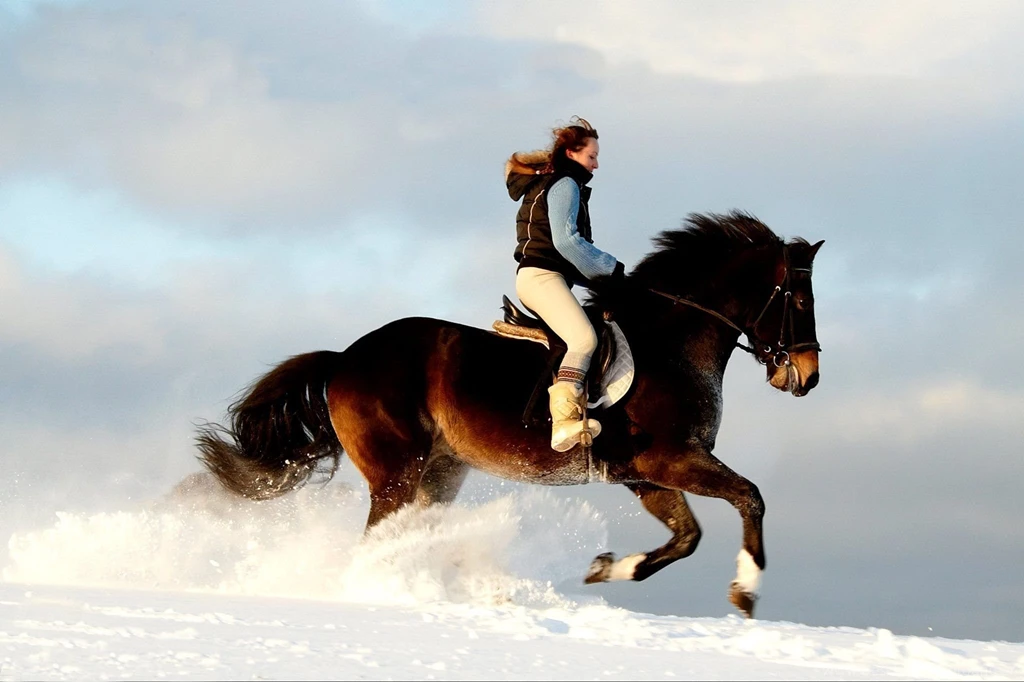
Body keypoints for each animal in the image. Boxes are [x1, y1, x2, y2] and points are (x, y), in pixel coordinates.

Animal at [195, 211, 824, 618]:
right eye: (799, 299)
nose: (808, 375)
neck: (672, 343)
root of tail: (345, 358)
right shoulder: (672, 459)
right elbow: (749, 498)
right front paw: (746, 591)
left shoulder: (643, 476)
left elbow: (686, 537)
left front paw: (603, 569)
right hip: (395, 472)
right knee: (378, 539)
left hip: (440, 472)